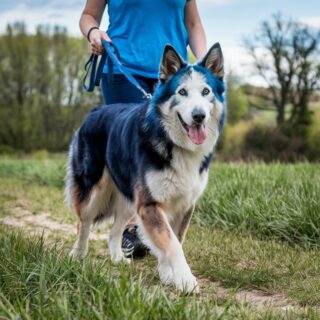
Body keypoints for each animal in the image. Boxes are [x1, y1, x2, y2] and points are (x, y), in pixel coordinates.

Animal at [65, 43, 225, 292]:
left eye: (206, 92)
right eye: (182, 92)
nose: (199, 116)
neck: (173, 142)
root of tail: (94, 111)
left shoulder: (182, 204)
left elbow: (174, 240)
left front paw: (168, 275)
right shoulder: (150, 203)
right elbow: (172, 244)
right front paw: (185, 280)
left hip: (128, 199)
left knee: (114, 230)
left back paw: (117, 258)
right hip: (93, 191)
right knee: (84, 223)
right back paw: (77, 255)